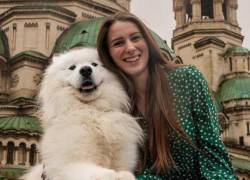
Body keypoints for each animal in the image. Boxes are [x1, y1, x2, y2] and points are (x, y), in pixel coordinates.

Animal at [24, 47, 145, 180]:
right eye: (72, 67)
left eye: (94, 64)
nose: (86, 70)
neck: (91, 110)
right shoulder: (66, 164)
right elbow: (102, 173)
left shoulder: (123, 161)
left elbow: (125, 173)